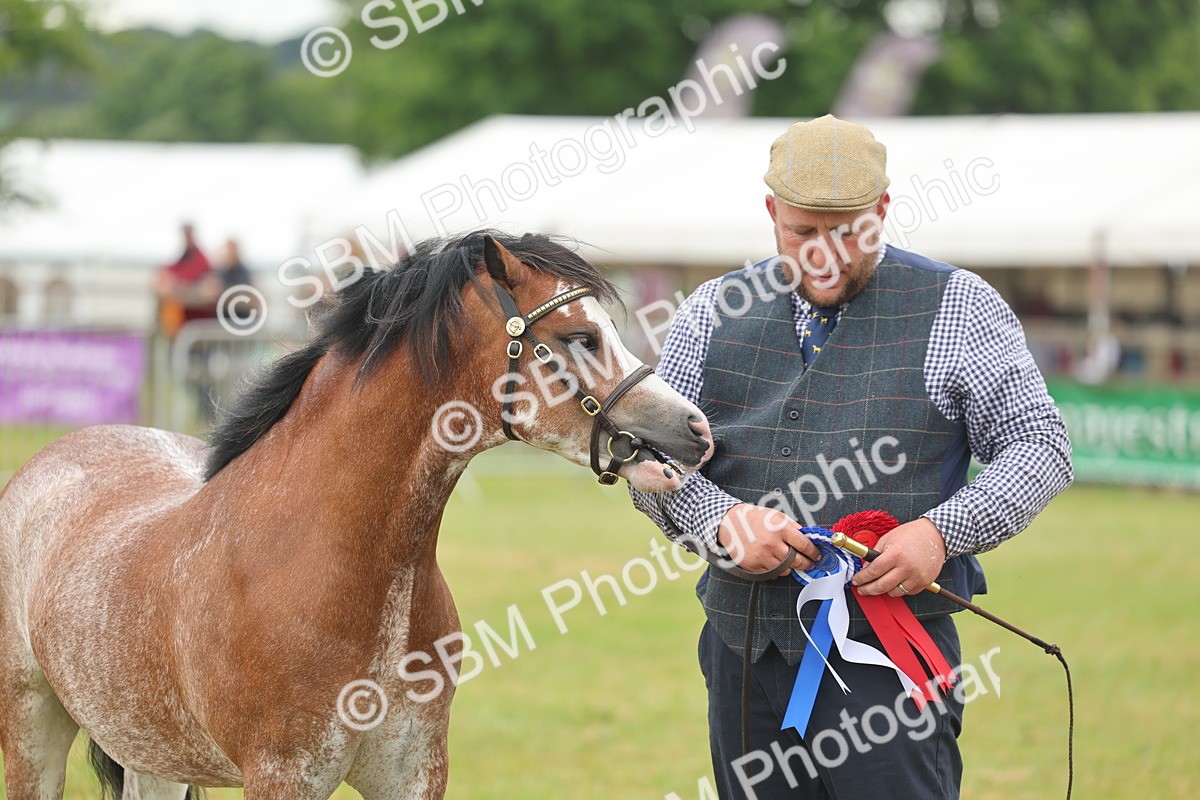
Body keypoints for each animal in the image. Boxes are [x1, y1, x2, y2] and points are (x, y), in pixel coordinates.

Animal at [0, 231, 714, 800]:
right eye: (579, 337)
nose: (696, 429)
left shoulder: (412, 775)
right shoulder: (283, 777)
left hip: (155, 756)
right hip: (32, 733)